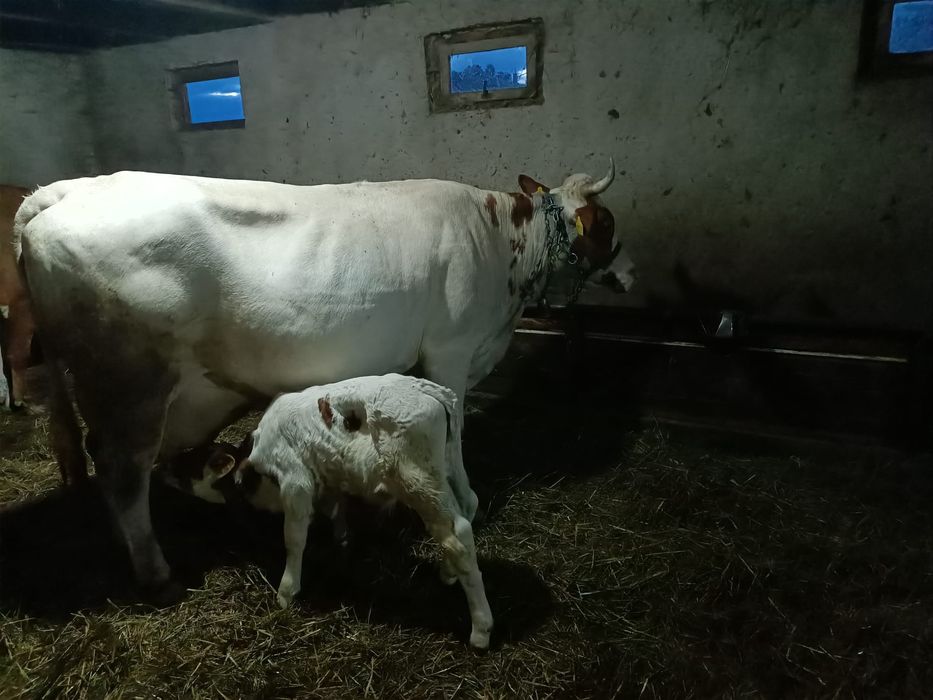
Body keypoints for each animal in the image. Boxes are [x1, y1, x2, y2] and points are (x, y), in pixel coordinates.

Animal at [13, 162, 634, 600]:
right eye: (605, 223)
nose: (629, 274)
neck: (501, 242)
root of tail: (64, 191)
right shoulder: (451, 352)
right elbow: (456, 441)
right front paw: (470, 501)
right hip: (131, 383)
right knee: (122, 471)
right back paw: (156, 574)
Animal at [159, 374, 493, 648]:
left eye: (190, 464)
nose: (161, 467)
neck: (254, 463)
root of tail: (428, 388)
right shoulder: (328, 477)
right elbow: (336, 512)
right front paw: (342, 543)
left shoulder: (295, 481)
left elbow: (294, 539)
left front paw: (286, 591)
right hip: (448, 467)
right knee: (470, 504)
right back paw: (448, 572)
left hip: (417, 480)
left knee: (457, 536)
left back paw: (481, 629)